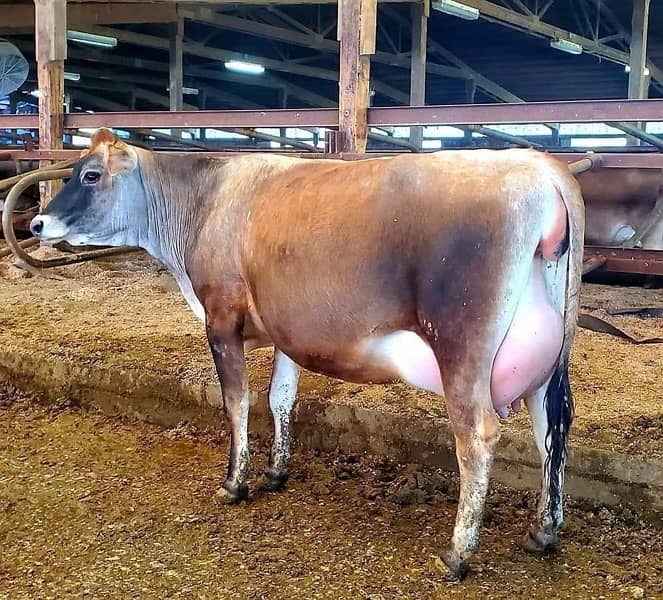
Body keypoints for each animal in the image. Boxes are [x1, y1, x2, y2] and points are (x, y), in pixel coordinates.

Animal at [31, 129, 584, 580]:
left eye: (91, 174)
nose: (36, 222)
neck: (206, 202)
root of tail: (542, 169)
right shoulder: (286, 330)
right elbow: (280, 397)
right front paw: (276, 473)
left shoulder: (221, 317)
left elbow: (236, 401)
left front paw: (234, 483)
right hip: (550, 358)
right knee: (553, 426)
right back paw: (543, 532)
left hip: (462, 345)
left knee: (477, 435)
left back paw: (457, 554)